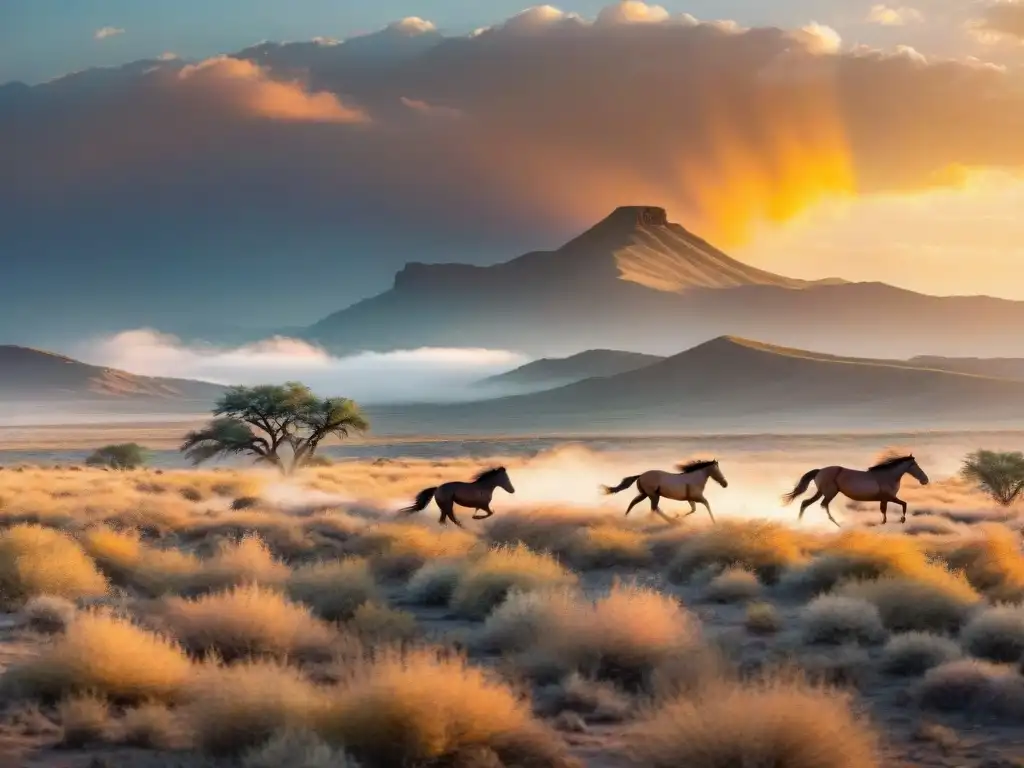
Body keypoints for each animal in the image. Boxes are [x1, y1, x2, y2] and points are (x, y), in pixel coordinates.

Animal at [598, 460, 729, 528]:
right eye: (717, 470)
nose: (725, 484)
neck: (695, 478)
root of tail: (640, 476)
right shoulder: (698, 497)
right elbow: (707, 505)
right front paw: (714, 522)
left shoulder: (690, 499)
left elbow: (693, 510)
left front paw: (678, 517)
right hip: (653, 495)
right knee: (654, 508)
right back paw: (666, 521)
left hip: (645, 494)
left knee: (635, 503)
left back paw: (626, 517)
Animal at [782, 454, 929, 528]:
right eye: (915, 465)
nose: (925, 480)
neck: (887, 476)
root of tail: (819, 471)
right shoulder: (888, 497)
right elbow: (904, 504)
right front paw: (902, 519)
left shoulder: (884, 499)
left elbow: (884, 511)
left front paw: (883, 523)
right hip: (830, 493)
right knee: (823, 505)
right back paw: (837, 524)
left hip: (821, 492)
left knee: (805, 503)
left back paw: (799, 523)